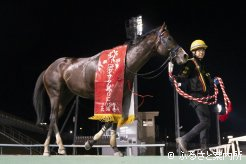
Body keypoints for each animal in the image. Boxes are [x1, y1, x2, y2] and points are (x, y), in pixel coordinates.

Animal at [32, 22, 188, 156]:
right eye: (169, 38)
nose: (184, 55)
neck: (123, 65)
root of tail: (49, 68)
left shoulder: (122, 97)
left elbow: (116, 119)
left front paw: (115, 148)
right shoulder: (111, 96)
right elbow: (109, 120)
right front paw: (90, 142)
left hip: (66, 97)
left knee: (54, 119)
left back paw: (55, 148)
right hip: (55, 94)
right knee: (53, 117)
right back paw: (52, 148)